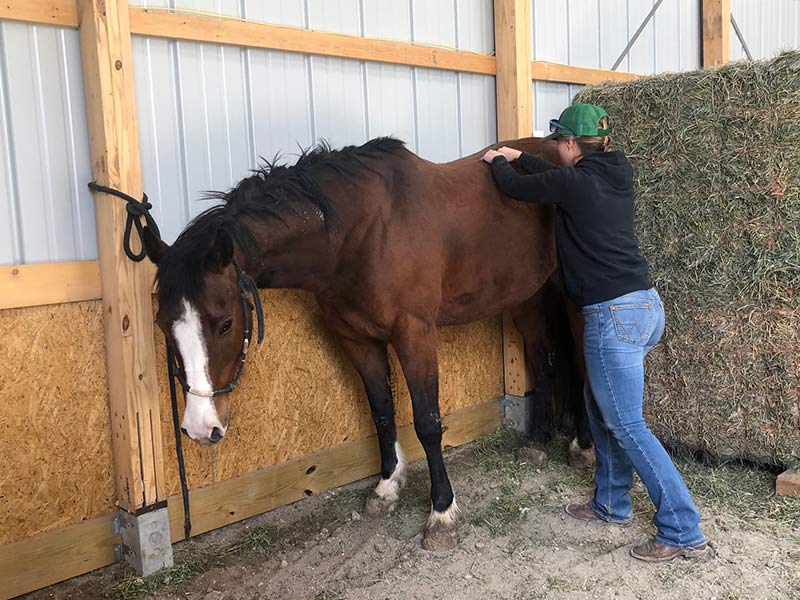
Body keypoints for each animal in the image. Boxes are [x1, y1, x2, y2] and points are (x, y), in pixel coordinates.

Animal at [141, 135, 592, 548]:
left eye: (226, 323)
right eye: (163, 325)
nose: (202, 427)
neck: (358, 235)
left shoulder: (414, 334)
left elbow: (428, 423)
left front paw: (441, 512)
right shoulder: (357, 340)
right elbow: (381, 412)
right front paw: (386, 487)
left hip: (573, 296)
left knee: (583, 363)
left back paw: (582, 446)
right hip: (526, 297)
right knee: (545, 359)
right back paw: (537, 442)